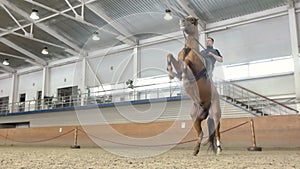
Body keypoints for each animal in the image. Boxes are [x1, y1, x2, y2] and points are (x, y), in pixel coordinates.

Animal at [166, 17, 223, 156]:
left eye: (191, 20)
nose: (181, 21)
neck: (190, 49)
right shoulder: (178, 62)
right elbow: (170, 56)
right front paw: (171, 73)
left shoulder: (192, 65)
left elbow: (186, 65)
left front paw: (182, 76)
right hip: (195, 117)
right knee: (201, 133)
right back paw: (195, 150)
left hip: (216, 114)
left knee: (217, 131)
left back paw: (219, 149)